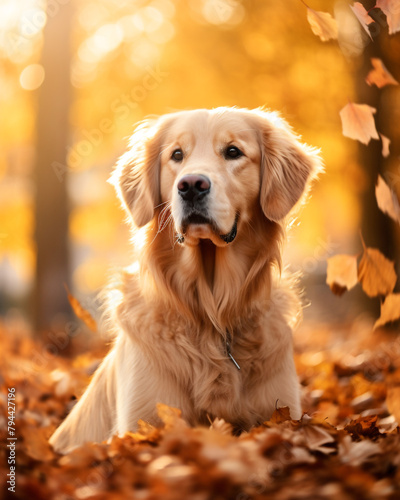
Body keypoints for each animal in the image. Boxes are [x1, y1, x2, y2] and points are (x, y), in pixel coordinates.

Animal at [49, 106, 322, 454]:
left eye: (233, 151)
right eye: (176, 155)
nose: (191, 185)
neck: (211, 314)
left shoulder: (282, 413)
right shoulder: (142, 423)